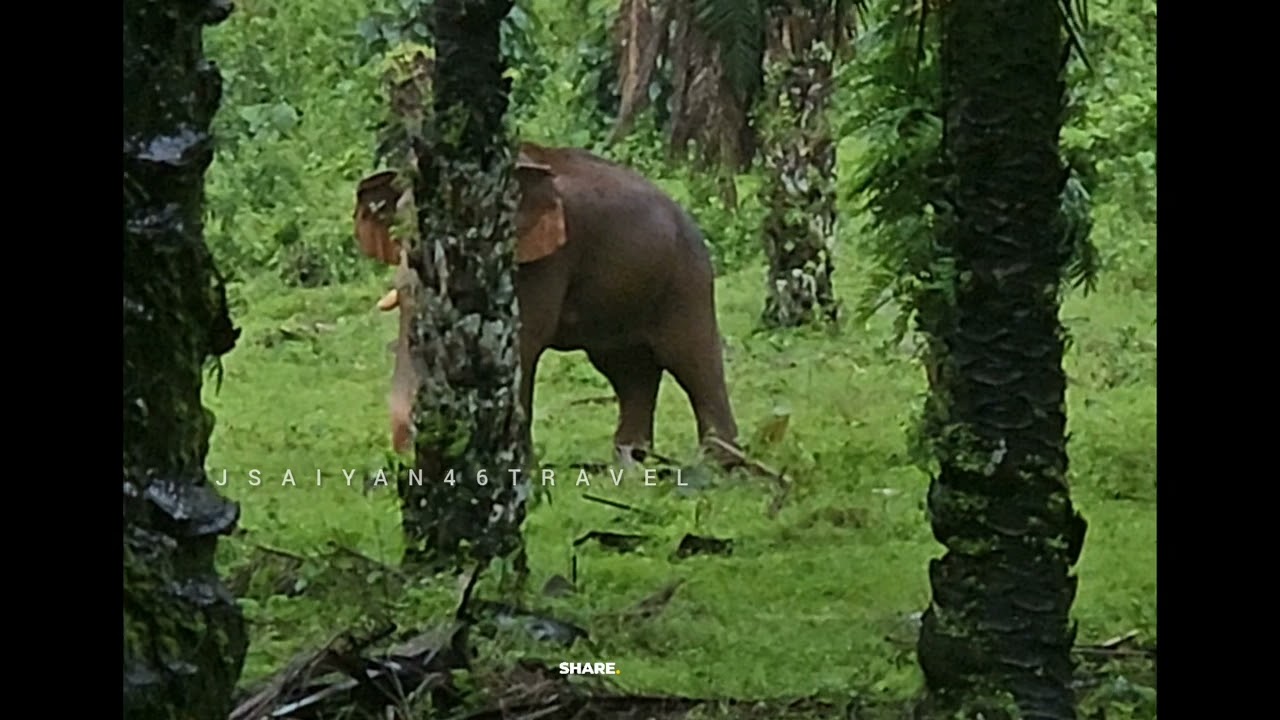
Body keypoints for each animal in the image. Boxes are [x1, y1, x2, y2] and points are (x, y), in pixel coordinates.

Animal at [352, 142, 740, 468]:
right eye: (401, 228)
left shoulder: (543, 260)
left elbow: (523, 343)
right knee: (630, 372)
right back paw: (629, 465)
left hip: (685, 279)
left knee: (692, 361)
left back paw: (719, 467)